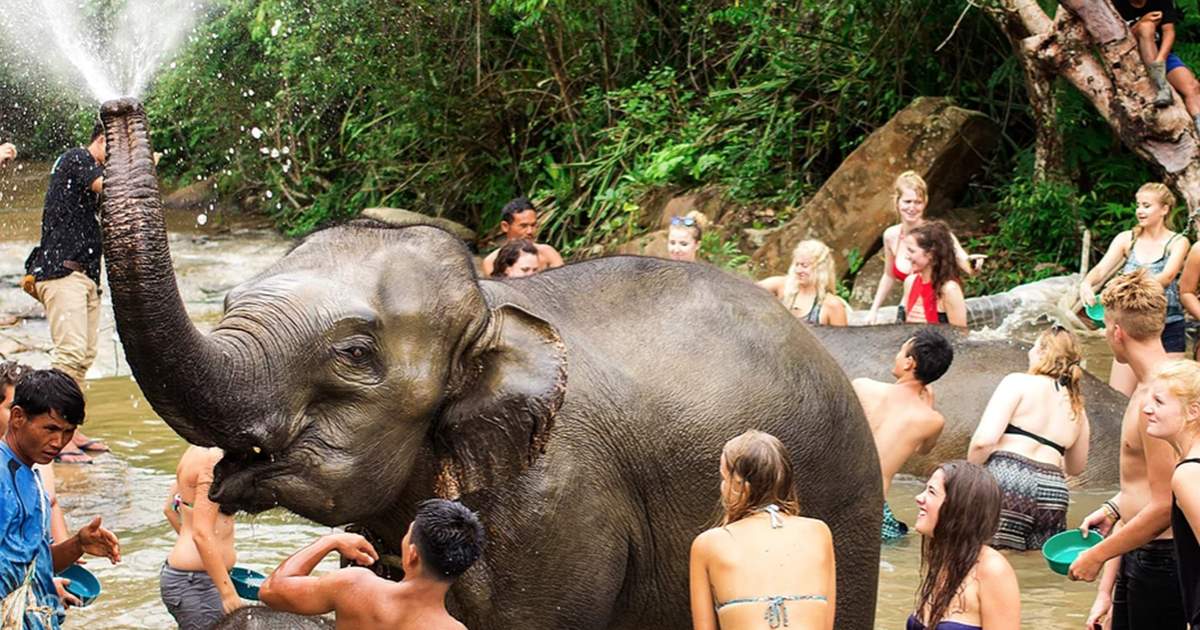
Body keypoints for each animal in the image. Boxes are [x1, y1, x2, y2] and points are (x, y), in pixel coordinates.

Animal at [97, 98, 882, 629]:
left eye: (353, 354)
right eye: (228, 300)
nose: (116, 107)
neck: (489, 308)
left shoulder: (560, 500)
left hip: (840, 510)